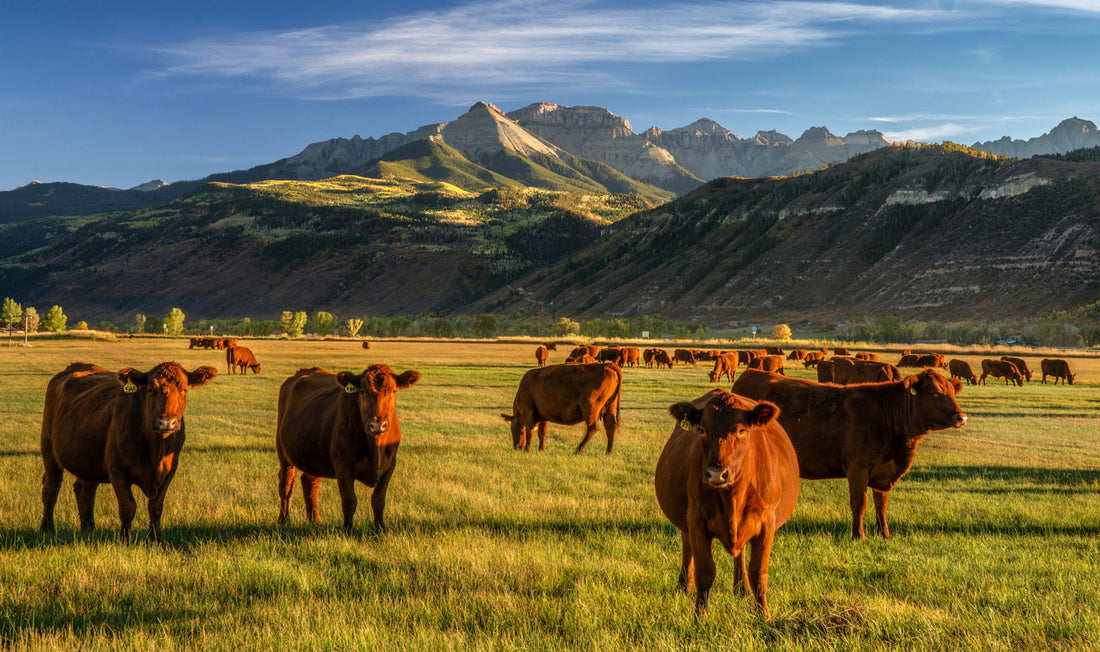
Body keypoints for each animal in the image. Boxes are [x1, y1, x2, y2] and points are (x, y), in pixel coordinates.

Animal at [41, 358, 216, 540]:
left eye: (184, 389)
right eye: (151, 389)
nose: (166, 422)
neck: (155, 448)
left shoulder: (170, 470)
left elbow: (156, 507)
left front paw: (156, 540)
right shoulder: (117, 469)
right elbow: (128, 507)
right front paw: (125, 540)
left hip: (88, 459)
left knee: (84, 491)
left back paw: (88, 529)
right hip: (48, 448)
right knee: (51, 488)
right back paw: (47, 528)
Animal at [275, 362, 420, 532]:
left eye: (393, 391)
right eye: (362, 392)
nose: (377, 425)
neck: (375, 447)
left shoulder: (389, 466)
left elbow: (378, 500)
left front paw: (380, 529)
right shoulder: (342, 466)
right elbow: (349, 500)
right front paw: (348, 530)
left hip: (314, 455)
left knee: (309, 482)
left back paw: (315, 521)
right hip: (284, 454)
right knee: (286, 485)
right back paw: (283, 520)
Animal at [651, 389, 800, 615]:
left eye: (741, 430)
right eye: (702, 430)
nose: (716, 473)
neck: (733, 498)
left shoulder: (767, 522)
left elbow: (759, 573)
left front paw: (763, 616)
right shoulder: (696, 520)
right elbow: (705, 572)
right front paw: (700, 616)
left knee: (741, 554)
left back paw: (742, 589)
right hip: (686, 522)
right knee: (687, 549)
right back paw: (684, 586)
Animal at [734, 365, 968, 538]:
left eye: (951, 390)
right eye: (934, 392)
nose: (962, 417)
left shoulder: (882, 470)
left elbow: (881, 504)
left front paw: (884, 534)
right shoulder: (858, 469)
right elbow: (859, 503)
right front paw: (859, 536)